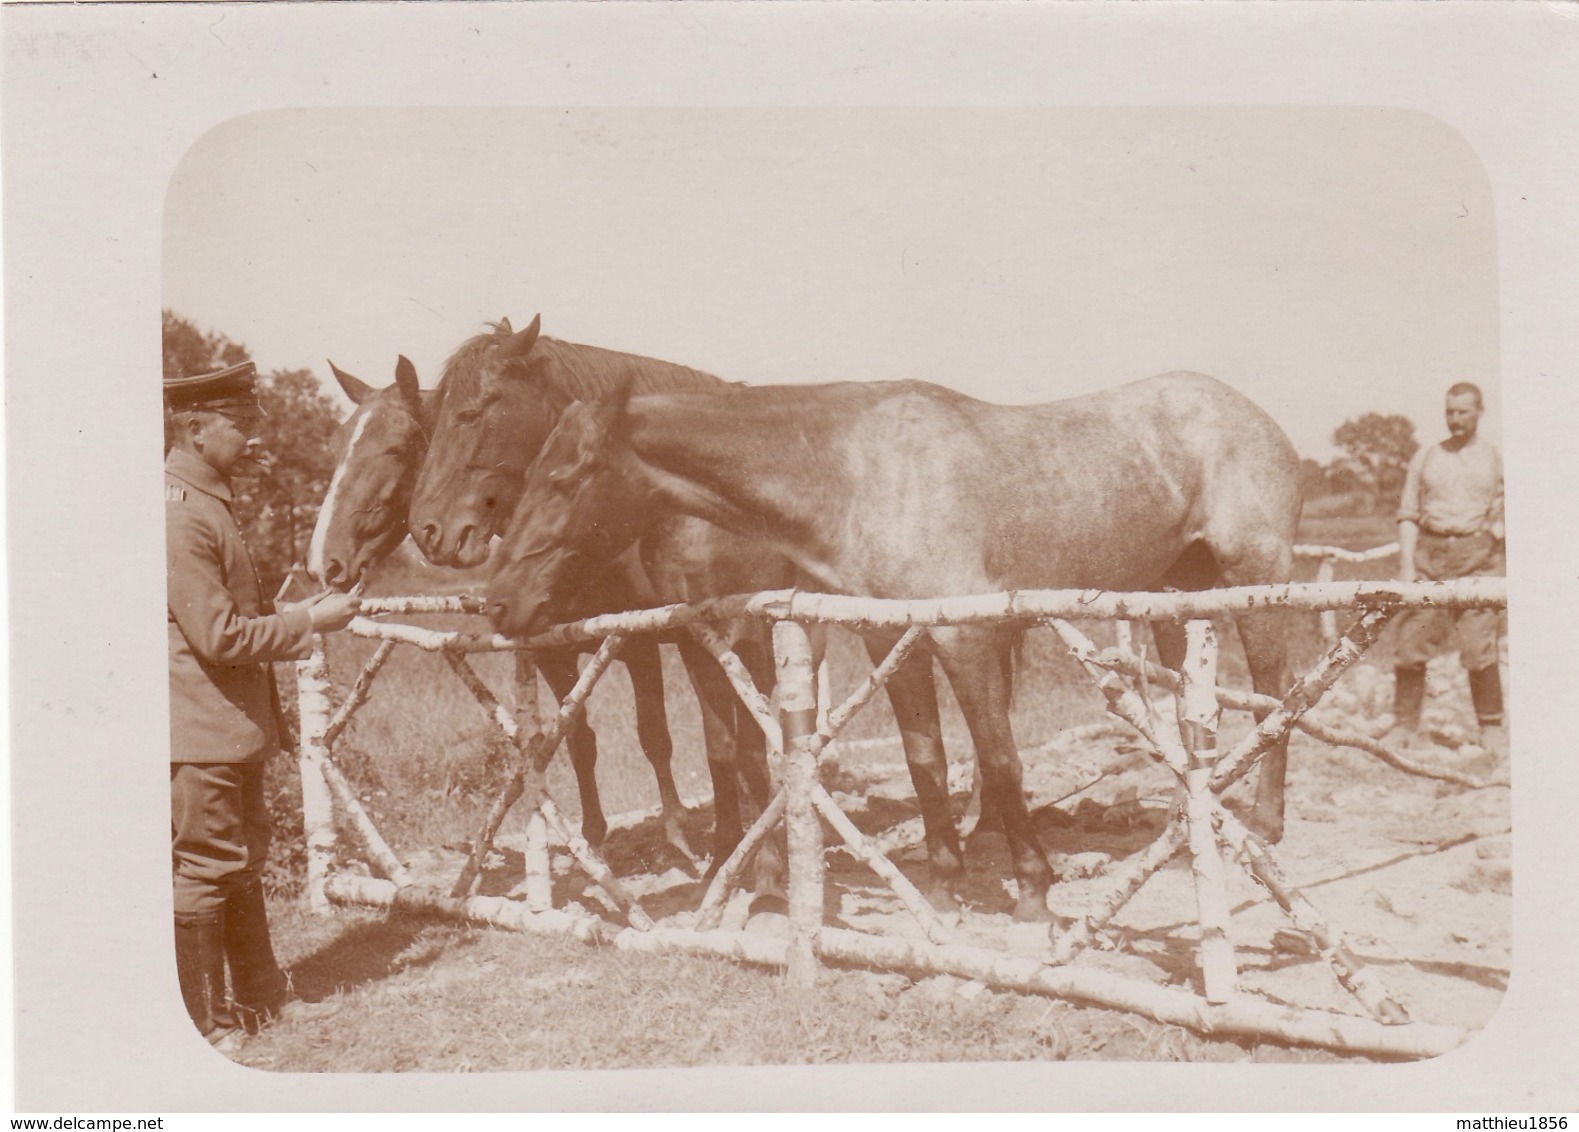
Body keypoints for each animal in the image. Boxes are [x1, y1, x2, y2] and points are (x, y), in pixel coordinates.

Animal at [306, 350, 697, 858]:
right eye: (335, 445)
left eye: (395, 448)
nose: (323, 561)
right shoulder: (552, 653)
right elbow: (579, 741)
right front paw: (591, 837)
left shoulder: (635, 643)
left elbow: (654, 736)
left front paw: (678, 831)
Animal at [486, 371, 1301, 915]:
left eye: (564, 478)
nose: (498, 602)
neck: (855, 474)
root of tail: (1252, 411)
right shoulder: (893, 643)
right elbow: (925, 760)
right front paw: (941, 887)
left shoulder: (964, 639)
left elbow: (999, 761)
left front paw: (1032, 890)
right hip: (1177, 598)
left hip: (1256, 582)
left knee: (1275, 692)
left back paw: (1264, 826)